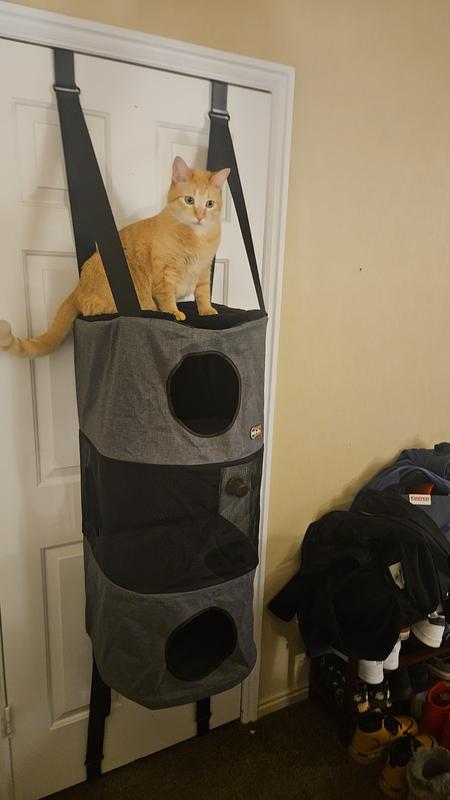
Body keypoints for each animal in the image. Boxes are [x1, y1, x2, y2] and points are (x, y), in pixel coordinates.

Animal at [0, 156, 230, 358]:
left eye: (209, 204)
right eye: (189, 200)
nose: (200, 216)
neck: (197, 238)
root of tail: (78, 287)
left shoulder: (204, 270)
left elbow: (203, 293)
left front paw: (207, 311)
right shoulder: (166, 275)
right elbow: (167, 299)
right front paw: (174, 312)